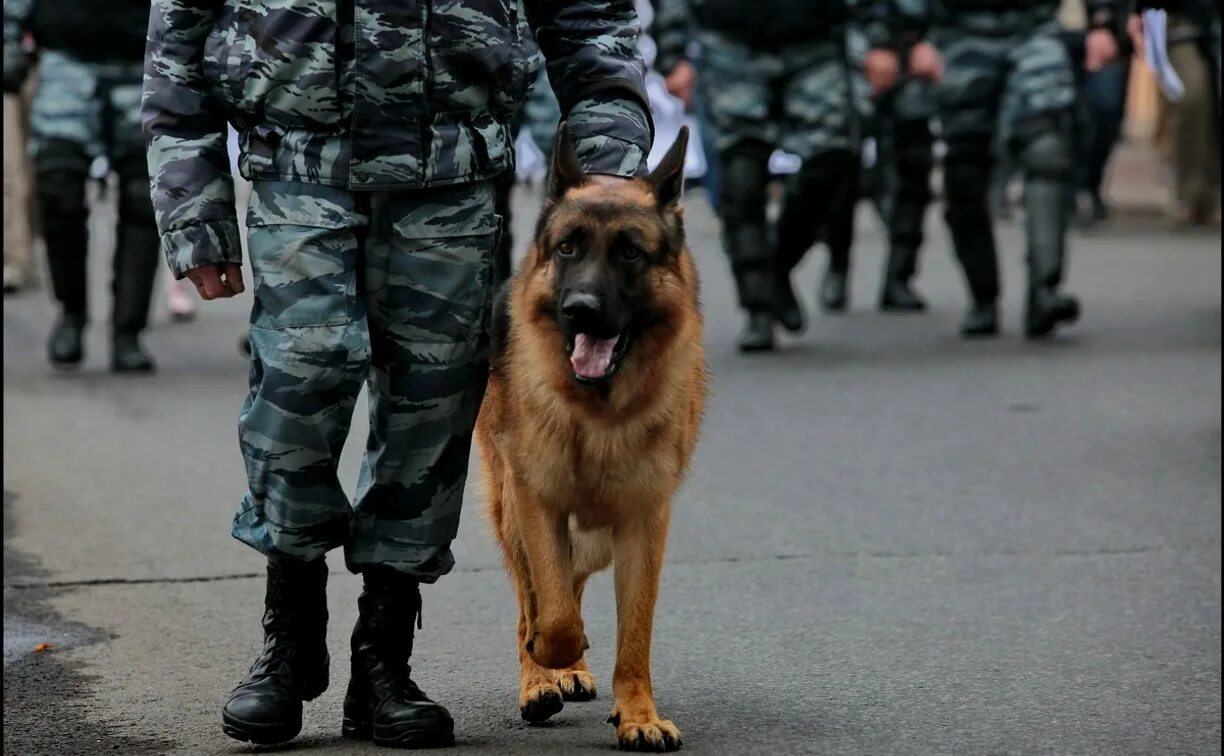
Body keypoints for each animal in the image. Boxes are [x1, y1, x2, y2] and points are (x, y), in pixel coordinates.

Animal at [477, 123, 709, 748]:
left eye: (629, 251)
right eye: (568, 248)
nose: (580, 309)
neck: (598, 414)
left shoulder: (643, 523)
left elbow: (635, 633)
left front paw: (639, 716)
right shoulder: (537, 503)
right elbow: (552, 614)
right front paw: (550, 657)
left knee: (572, 579)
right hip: (513, 511)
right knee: (534, 597)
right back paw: (541, 678)